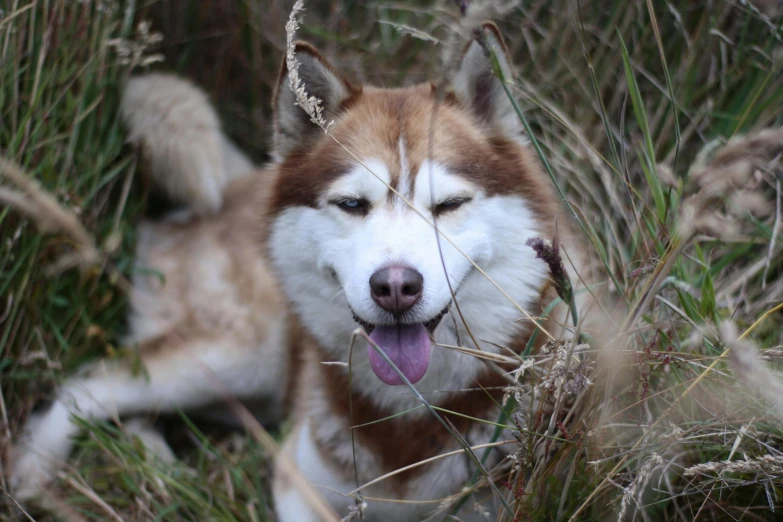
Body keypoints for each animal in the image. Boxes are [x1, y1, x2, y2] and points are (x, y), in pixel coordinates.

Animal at [10, 22, 588, 516]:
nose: (395, 287)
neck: (407, 416)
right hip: (234, 355)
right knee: (89, 385)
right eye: (353, 204)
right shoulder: (296, 481)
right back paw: (34, 476)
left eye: (448, 205)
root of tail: (238, 184)